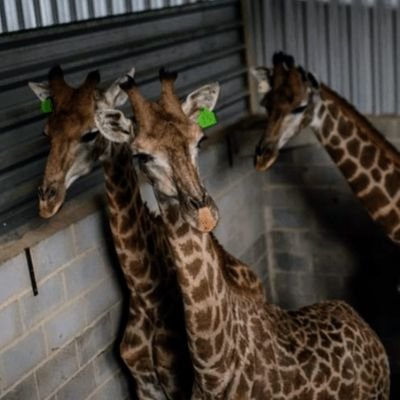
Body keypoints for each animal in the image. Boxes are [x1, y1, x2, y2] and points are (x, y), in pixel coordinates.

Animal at [27, 66, 193, 400]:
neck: (145, 293)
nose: (47, 202)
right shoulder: (141, 382)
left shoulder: (177, 379)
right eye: (45, 133)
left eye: (91, 133)